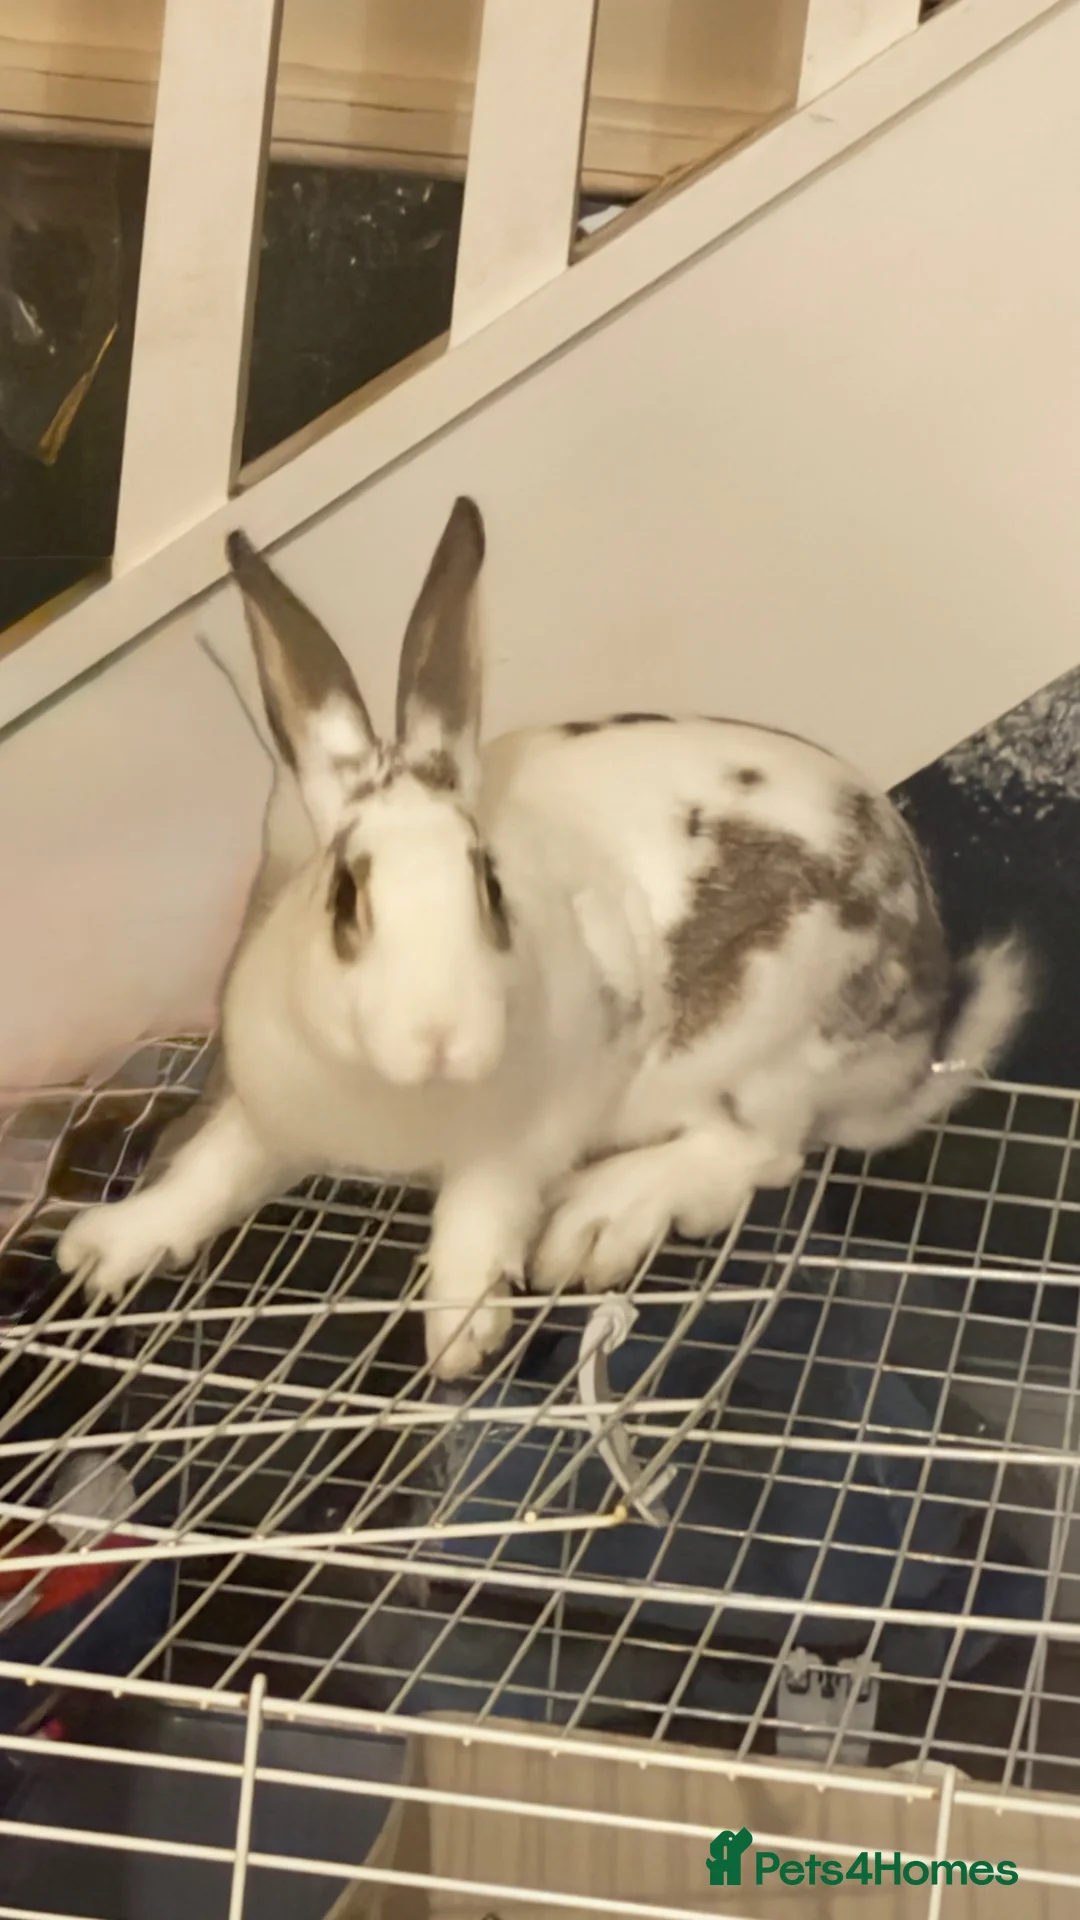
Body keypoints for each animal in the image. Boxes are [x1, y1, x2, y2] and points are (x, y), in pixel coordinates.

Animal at [55, 497, 1031, 1381]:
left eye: (487, 885)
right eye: (344, 899)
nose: (441, 1040)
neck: (402, 1106)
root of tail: (914, 1036)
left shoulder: (523, 1137)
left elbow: (477, 1212)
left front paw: (459, 1334)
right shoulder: (270, 1109)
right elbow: (209, 1175)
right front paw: (101, 1252)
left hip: (764, 1039)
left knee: (761, 1154)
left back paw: (596, 1224)